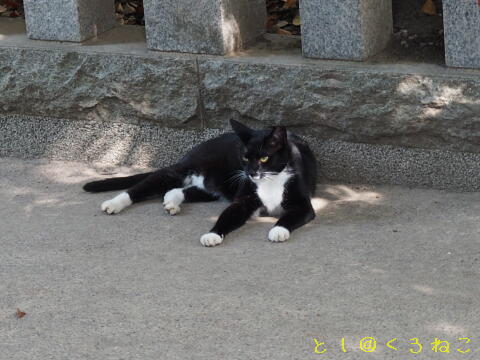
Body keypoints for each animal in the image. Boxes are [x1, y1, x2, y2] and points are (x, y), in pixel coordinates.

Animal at [84, 119, 316, 246]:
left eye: (265, 158)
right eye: (245, 157)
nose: (249, 173)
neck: (271, 180)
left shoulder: (303, 205)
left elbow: (291, 216)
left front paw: (278, 230)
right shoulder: (243, 200)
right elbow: (228, 215)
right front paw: (212, 235)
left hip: (213, 188)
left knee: (183, 190)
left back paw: (171, 202)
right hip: (182, 170)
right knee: (143, 187)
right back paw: (113, 203)